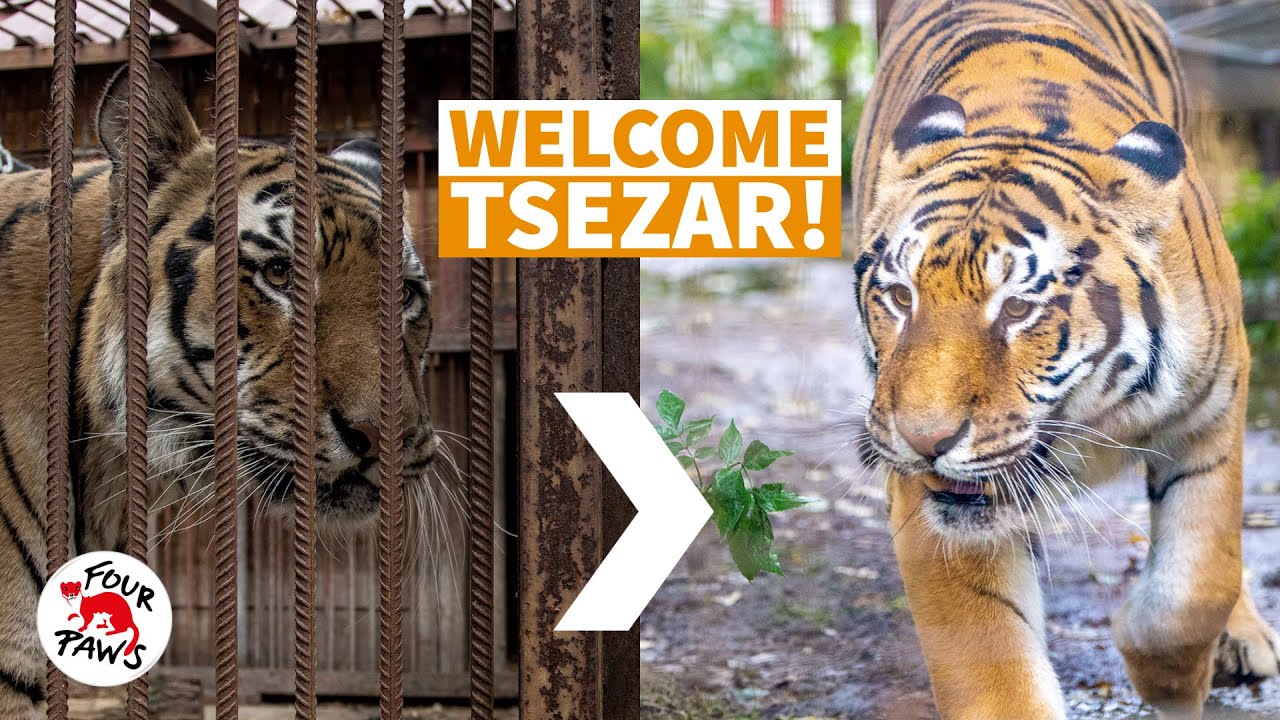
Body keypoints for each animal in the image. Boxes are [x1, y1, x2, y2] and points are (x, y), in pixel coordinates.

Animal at [850, 0, 1279, 717]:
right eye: (901, 296)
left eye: (1019, 309)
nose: (924, 440)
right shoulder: (934, 496)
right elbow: (989, 664)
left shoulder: (1212, 412)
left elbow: (1198, 582)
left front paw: (1159, 668)